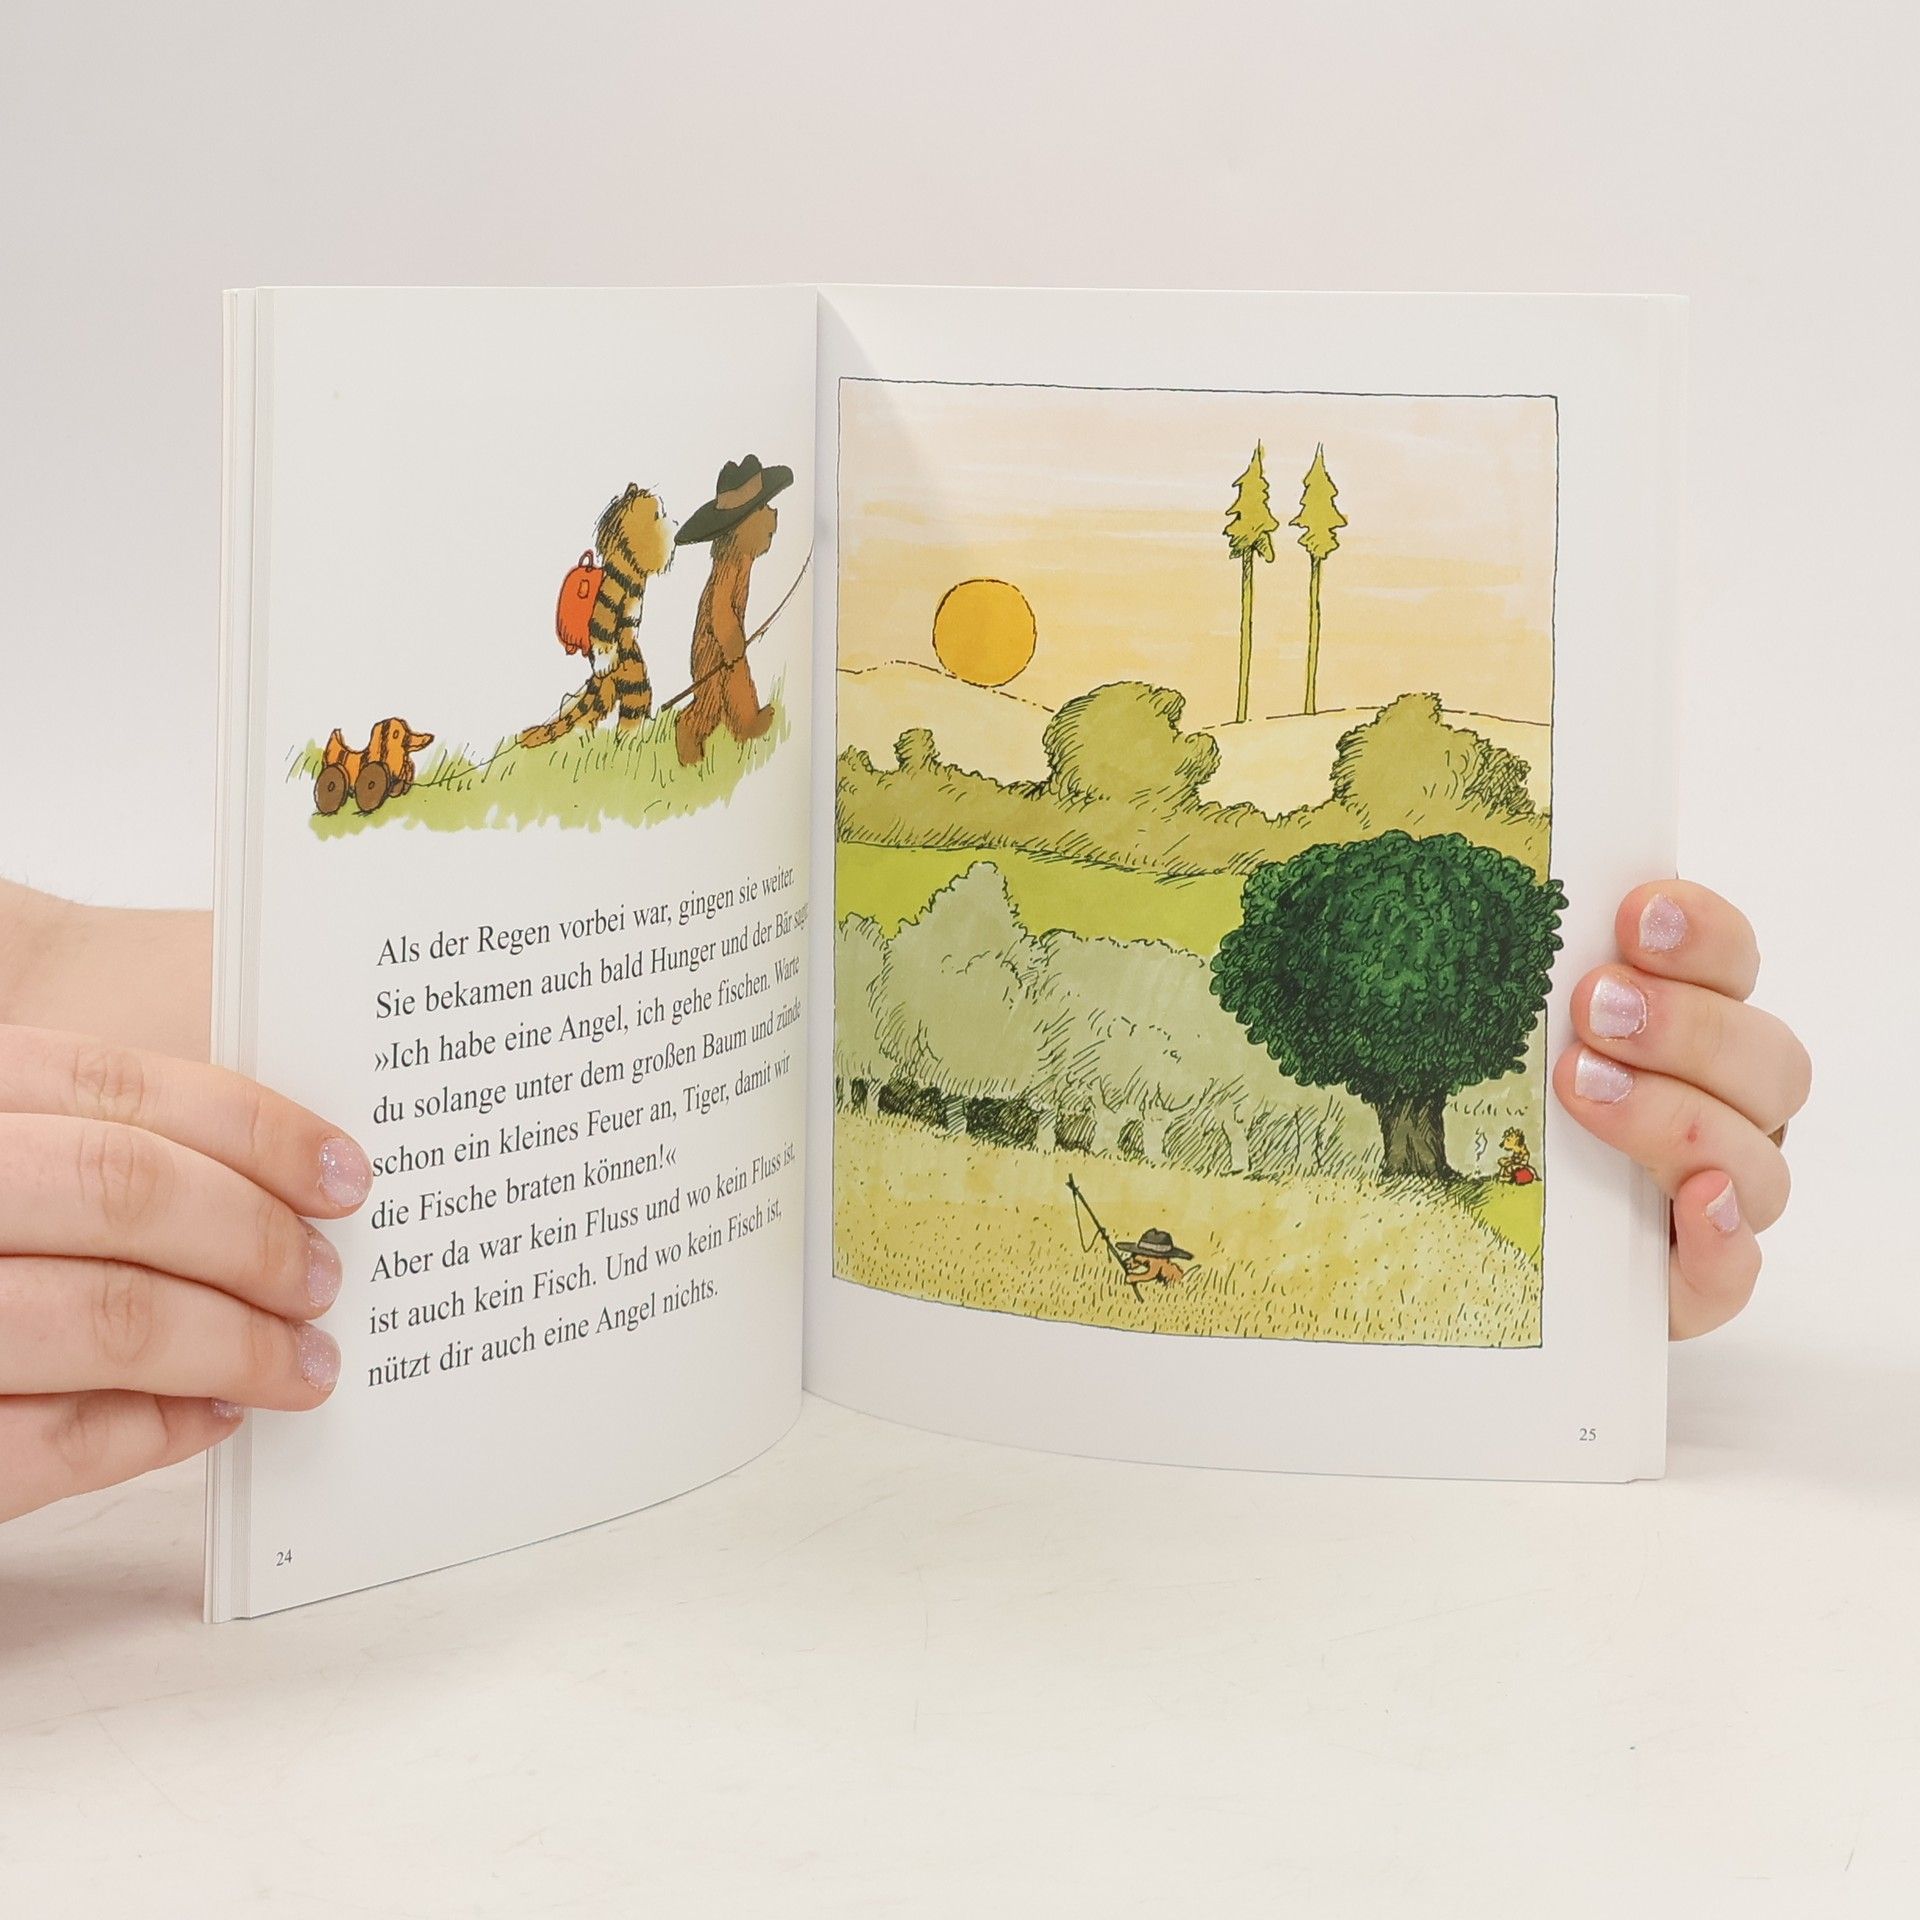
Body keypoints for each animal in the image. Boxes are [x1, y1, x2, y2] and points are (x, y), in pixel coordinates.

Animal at [520, 484, 673, 750]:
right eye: (657, 512)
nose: (672, 520)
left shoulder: (633, 609)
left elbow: (631, 625)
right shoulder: (607, 606)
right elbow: (603, 633)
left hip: (622, 689)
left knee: (598, 713)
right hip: (631, 686)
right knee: (620, 715)